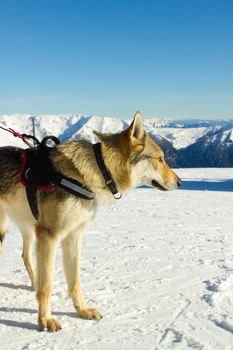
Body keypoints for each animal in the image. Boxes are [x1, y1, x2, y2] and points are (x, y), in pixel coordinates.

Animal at [0, 111, 181, 330]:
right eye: (160, 159)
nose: (181, 182)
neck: (93, 172)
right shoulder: (49, 236)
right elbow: (47, 286)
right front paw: (44, 320)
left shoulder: (73, 237)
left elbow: (75, 282)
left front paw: (82, 311)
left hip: (27, 228)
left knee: (25, 256)